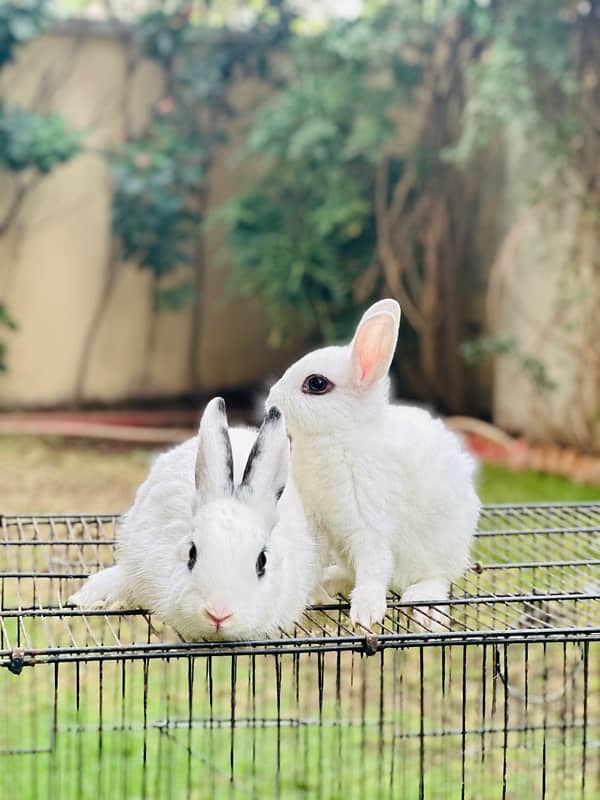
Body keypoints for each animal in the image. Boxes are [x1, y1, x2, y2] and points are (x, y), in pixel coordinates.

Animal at [266, 296, 478, 628]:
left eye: (316, 383)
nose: (270, 401)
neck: (339, 436)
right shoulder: (317, 523)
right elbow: (313, 563)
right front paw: (312, 598)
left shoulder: (370, 521)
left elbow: (373, 567)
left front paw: (366, 614)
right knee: (347, 572)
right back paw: (331, 582)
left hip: (438, 552)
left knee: (435, 578)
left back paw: (421, 604)